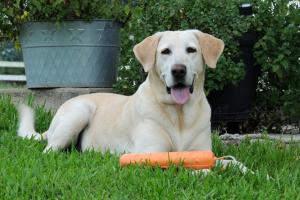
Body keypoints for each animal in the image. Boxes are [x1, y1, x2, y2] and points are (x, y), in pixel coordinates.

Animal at [17, 29, 224, 153]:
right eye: (166, 51)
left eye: (191, 50)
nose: (179, 70)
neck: (179, 114)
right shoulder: (151, 153)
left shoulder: (203, 151)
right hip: (78, 113)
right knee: (49, 151)